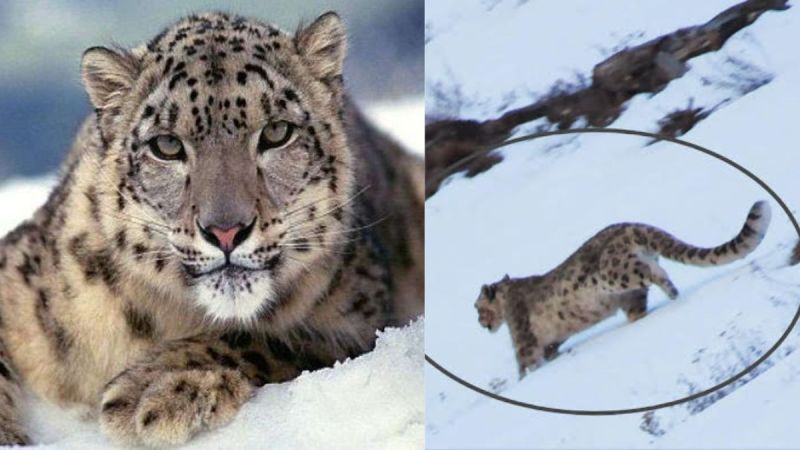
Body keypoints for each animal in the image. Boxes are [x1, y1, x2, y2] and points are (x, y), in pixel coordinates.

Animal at [0, 11, 423, 446]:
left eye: (277, 133)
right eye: (167, 145)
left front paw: (154, 389)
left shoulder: (358, 317)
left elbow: (267, 337)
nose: (226, 231)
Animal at [475, 201, 770, 379]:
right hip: (627, 293)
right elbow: (549, 350)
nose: (479, 322)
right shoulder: (550, 339)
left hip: (615, 274)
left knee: (652, 274)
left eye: (477, 307)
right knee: (640, 302)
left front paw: (522, 381)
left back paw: (670, 291)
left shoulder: (523, 338)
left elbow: (525, 363)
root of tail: (630, 224)